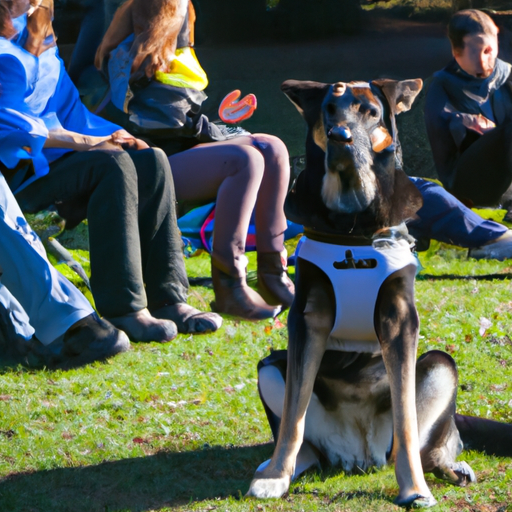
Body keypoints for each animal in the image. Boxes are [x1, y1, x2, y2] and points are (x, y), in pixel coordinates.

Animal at [247, 78, 512, 506]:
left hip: (440, 366)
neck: (352, 222)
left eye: (371, 112)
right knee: (308, 444)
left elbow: (406, 420)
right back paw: (285, 467)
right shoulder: (307, 319)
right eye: (328, 110)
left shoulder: (400, 320)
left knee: (429, 439)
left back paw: (447, 465)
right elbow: (292, 416)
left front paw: (414, 487)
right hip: (271, 367)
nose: (341, 136)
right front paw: (274, 476)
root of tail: (359, 453)